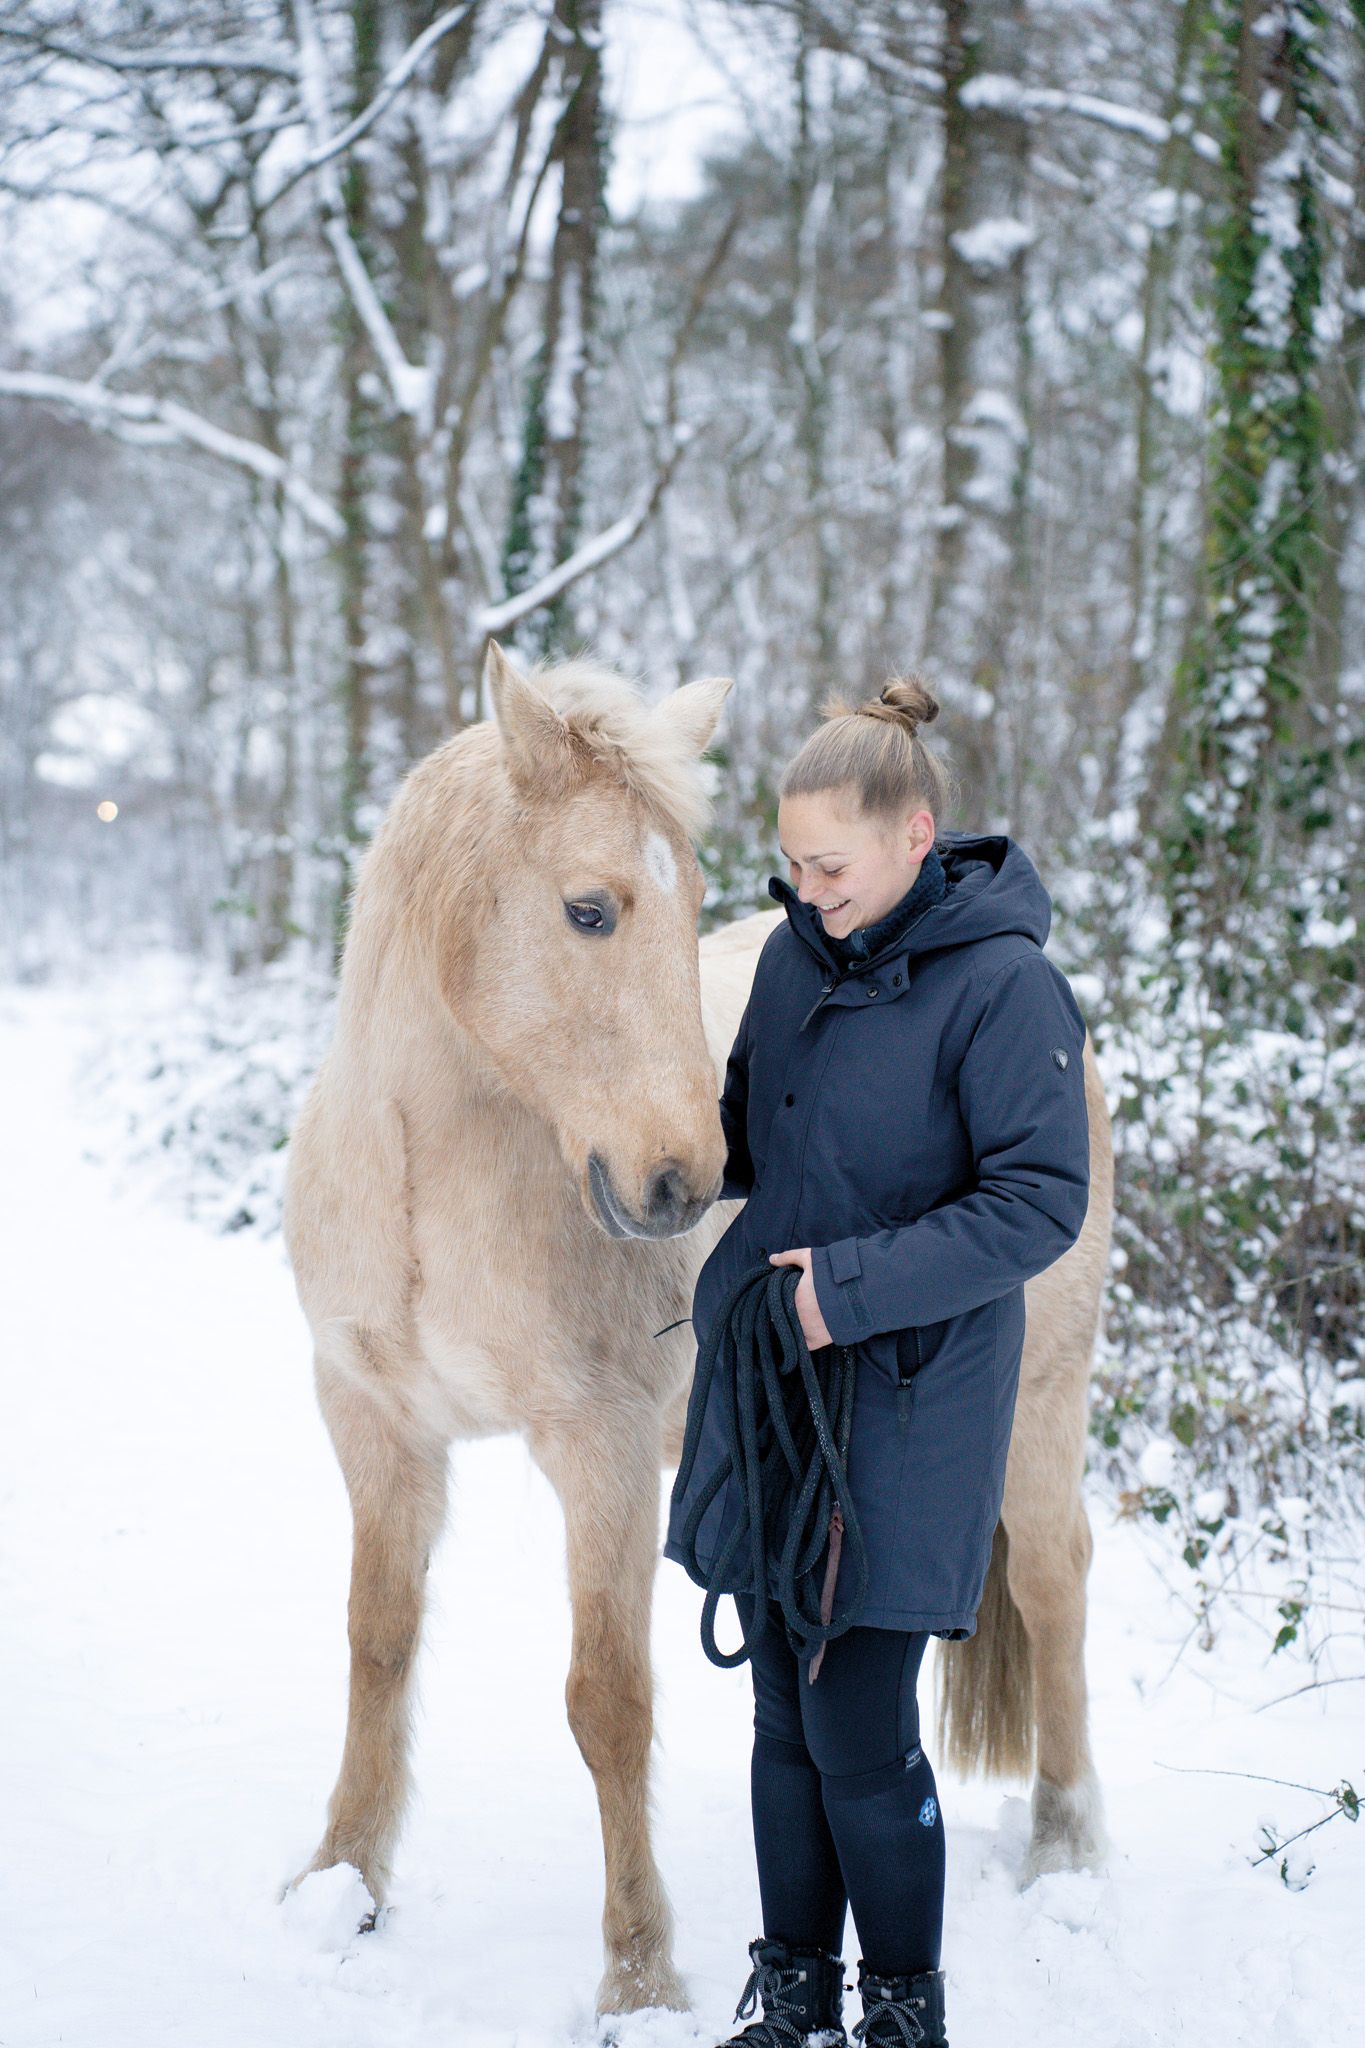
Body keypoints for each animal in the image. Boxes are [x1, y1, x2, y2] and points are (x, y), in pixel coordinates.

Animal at [280, 641, 1114, 2014]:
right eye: (589, 909)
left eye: (690, 904)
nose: (682, 1178)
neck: (424, 1184)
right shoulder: (375, 1425)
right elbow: (375, 1643)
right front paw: (340, 1885)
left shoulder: (602, 1450)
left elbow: (607, 1703)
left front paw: (639, 1977)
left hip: (1043, 1406)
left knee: (1053, 1582)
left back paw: (1066, 1846)